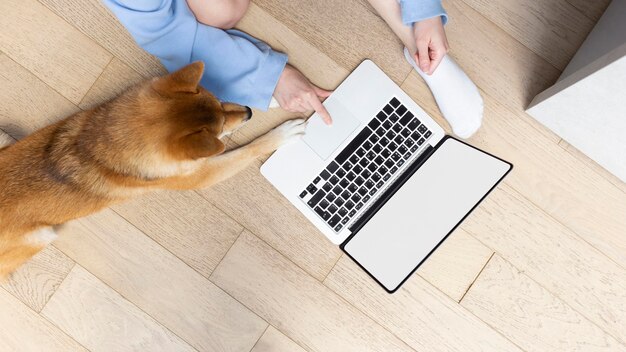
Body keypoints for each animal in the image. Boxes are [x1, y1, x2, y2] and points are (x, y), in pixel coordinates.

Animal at [0, 62, 306, 280]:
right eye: (218, 131)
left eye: (219, 101)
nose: (249, 112)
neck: (103, 142)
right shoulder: (201, 175)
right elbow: (249, 149)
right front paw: (281, 134)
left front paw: (271, 96)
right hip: (42, 236)